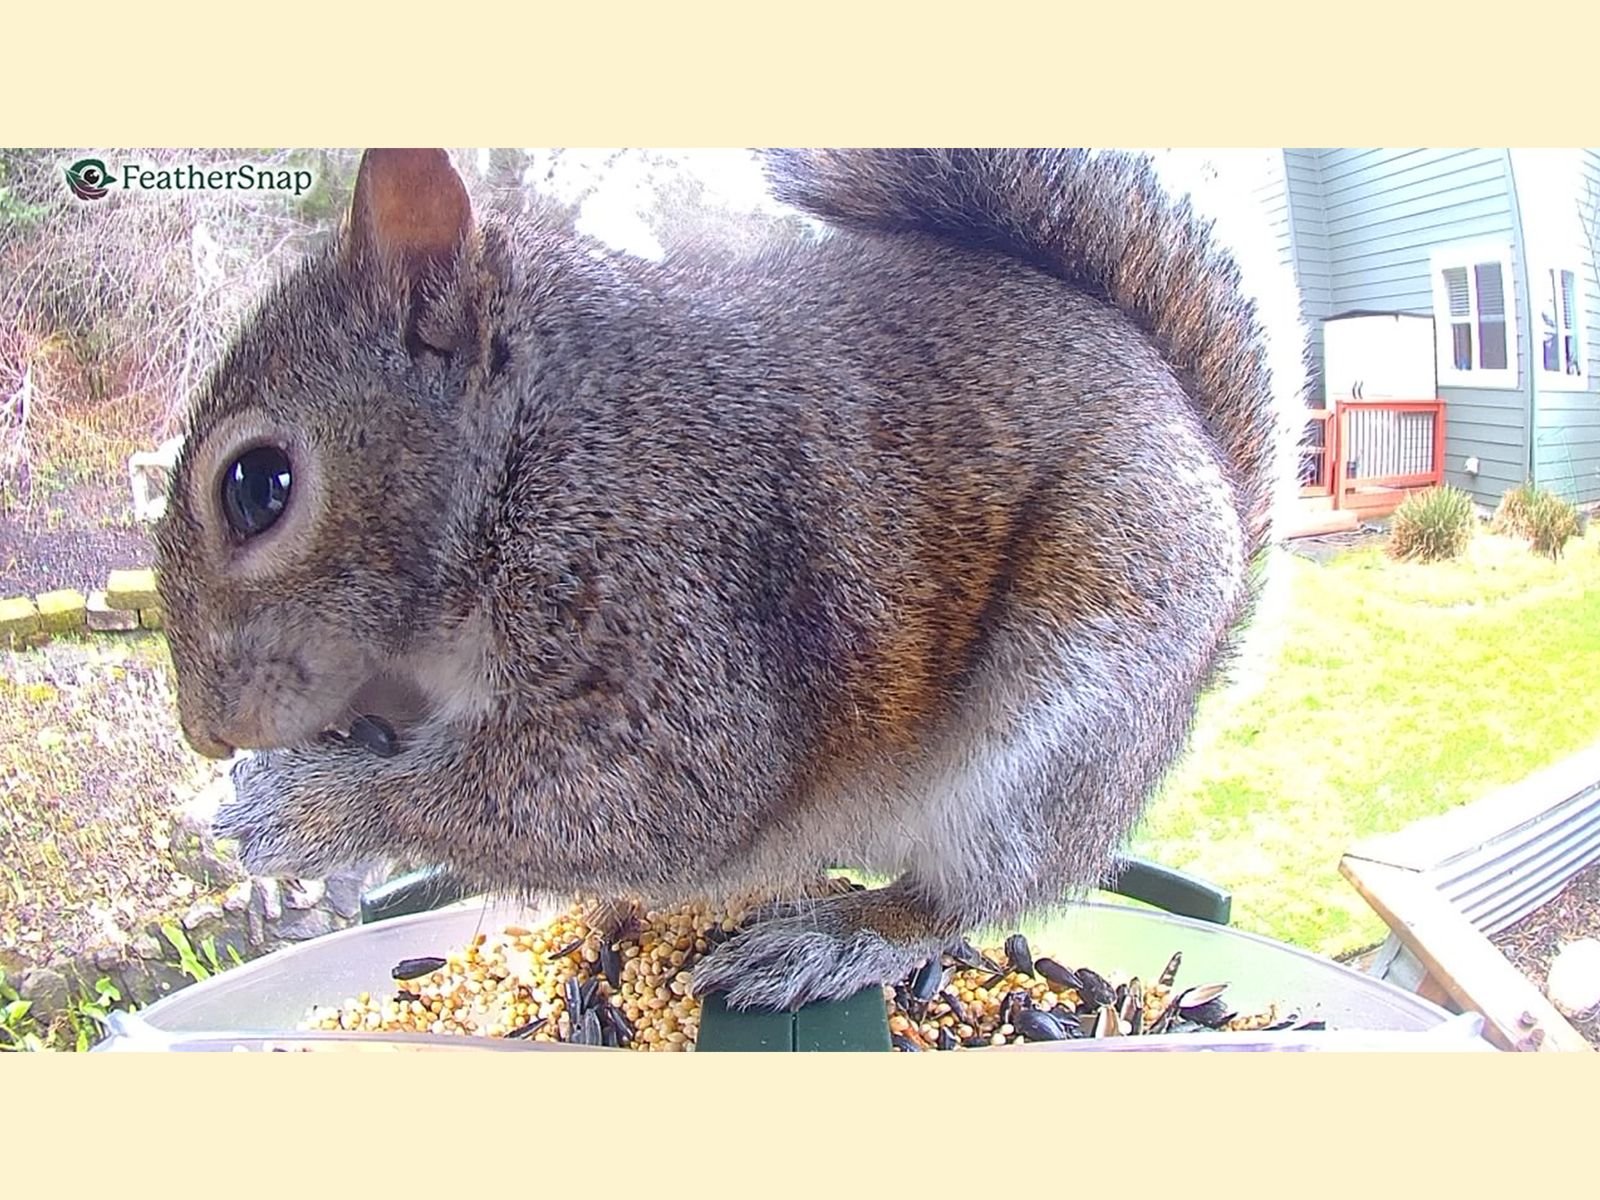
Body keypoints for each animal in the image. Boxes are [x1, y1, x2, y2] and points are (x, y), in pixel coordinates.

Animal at [154, 147, 1302, 1012]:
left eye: (258, 486)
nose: (204, 732)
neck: (535, 434)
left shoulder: (678, 585)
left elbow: (658, 798)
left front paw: (298, 810)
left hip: (1059, 720)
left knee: (967, 898)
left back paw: (842, 936)